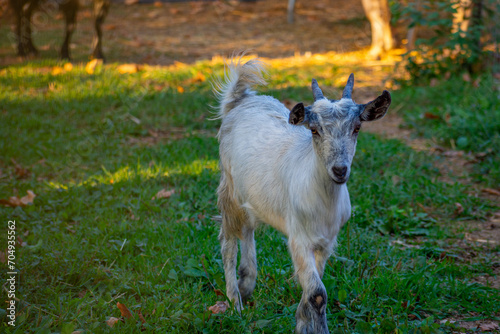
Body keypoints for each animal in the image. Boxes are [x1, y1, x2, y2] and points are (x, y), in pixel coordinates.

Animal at [215, 58, 390, 332]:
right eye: (314, 130)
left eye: (357, 128)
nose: (339, 170)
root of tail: (241, 99)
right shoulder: (298, 239)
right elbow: (317, 294)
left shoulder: (326, 242)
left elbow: (311, 289)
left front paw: (301, 321)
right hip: (229, 189)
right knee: (228, 240)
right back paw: (235, 302)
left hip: (251, 195)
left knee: (248, 228)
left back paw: (247, 282)